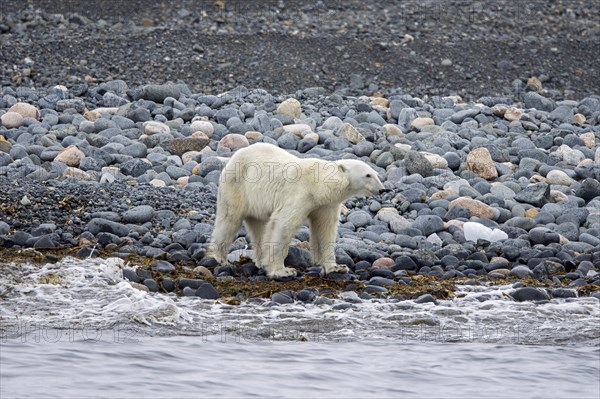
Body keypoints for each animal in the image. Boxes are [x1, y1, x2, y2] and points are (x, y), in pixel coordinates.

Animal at [206, 142, 384, 280]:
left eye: (377, 174)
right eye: (368, 175)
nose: (382, 189)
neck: (318, 186)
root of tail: (232, 157)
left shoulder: (326, 204)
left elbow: (325, 229)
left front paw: (336, 267)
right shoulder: (299, 194)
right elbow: (283, 225)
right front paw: (282, 271)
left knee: (259, 227)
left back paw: (259, 260)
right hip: (237, 186)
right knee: (229, 220)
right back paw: (220, 258)